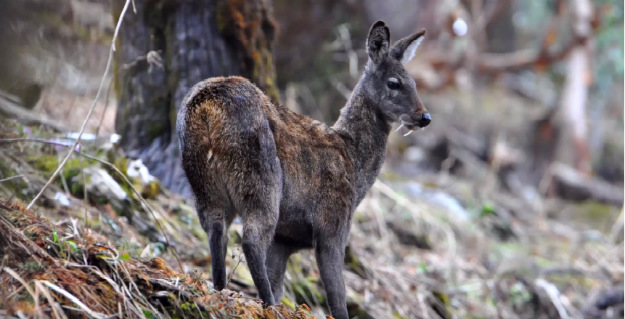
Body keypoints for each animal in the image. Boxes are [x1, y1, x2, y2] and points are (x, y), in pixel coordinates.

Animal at [176, 20, 428, 319]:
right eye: (394, 83)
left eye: (414, 83)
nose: (424, 117)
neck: (354, 163)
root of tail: (207, 108)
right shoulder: (333, 224)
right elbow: (337, 298)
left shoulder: (286, 237)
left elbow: (279, 279)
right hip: (261, 179)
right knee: (251, 239)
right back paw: (267, 305)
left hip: (203, 183)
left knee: (216, 232)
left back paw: (220, 292)